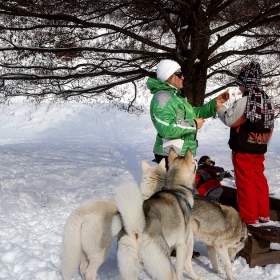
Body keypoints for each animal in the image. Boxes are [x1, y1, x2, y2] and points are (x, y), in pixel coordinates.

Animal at [113, 148, 203, 278]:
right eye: (194, 161)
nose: (197, 159)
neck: (176, 187)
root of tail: (136, 230)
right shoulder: (181, 245)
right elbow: (182, 269)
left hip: (129, 271)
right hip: (165, 267)